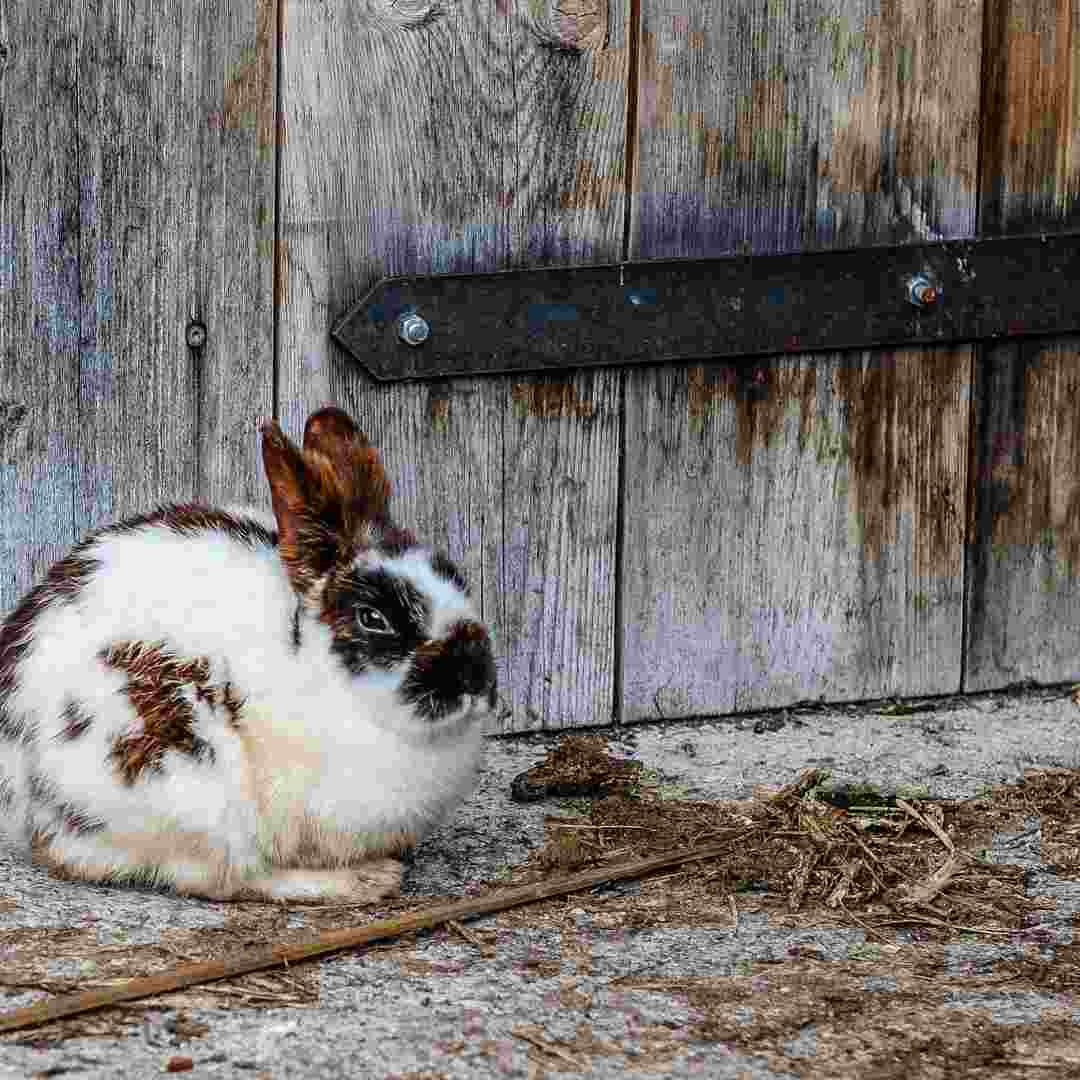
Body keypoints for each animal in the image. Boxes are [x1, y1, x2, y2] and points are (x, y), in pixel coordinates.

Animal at [0, 406, 494, 902]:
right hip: (187, 779)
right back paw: (363, 880)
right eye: (373, 618)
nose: (476, 677)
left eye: (456, 577)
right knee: (232, 875)